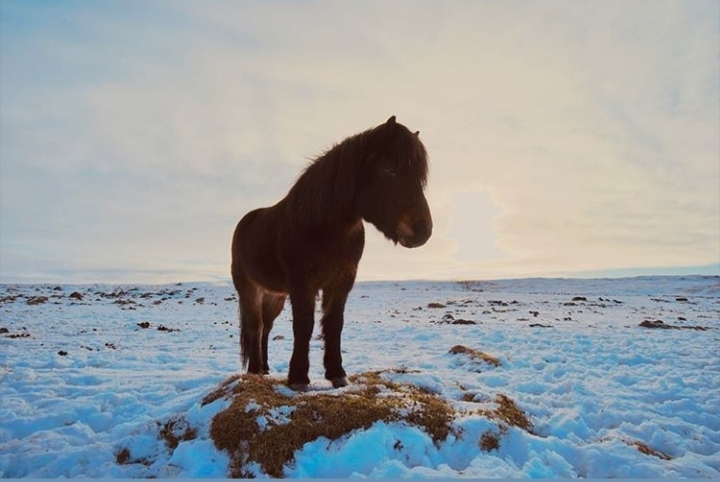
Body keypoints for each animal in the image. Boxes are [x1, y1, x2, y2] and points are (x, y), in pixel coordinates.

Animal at [231, 116, 432, 390]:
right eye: (390, 170)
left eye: (419, 176)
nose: (423, 230)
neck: (324, 229)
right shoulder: (302, 284)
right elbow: (304, 326)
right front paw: (298, 378)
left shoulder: (342, 281)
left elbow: (334, 324)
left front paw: (337, 373)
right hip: (249, 289)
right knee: (255, 326)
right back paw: (254, 370)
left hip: (274, 296)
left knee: (266, 328)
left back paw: (264, 368)